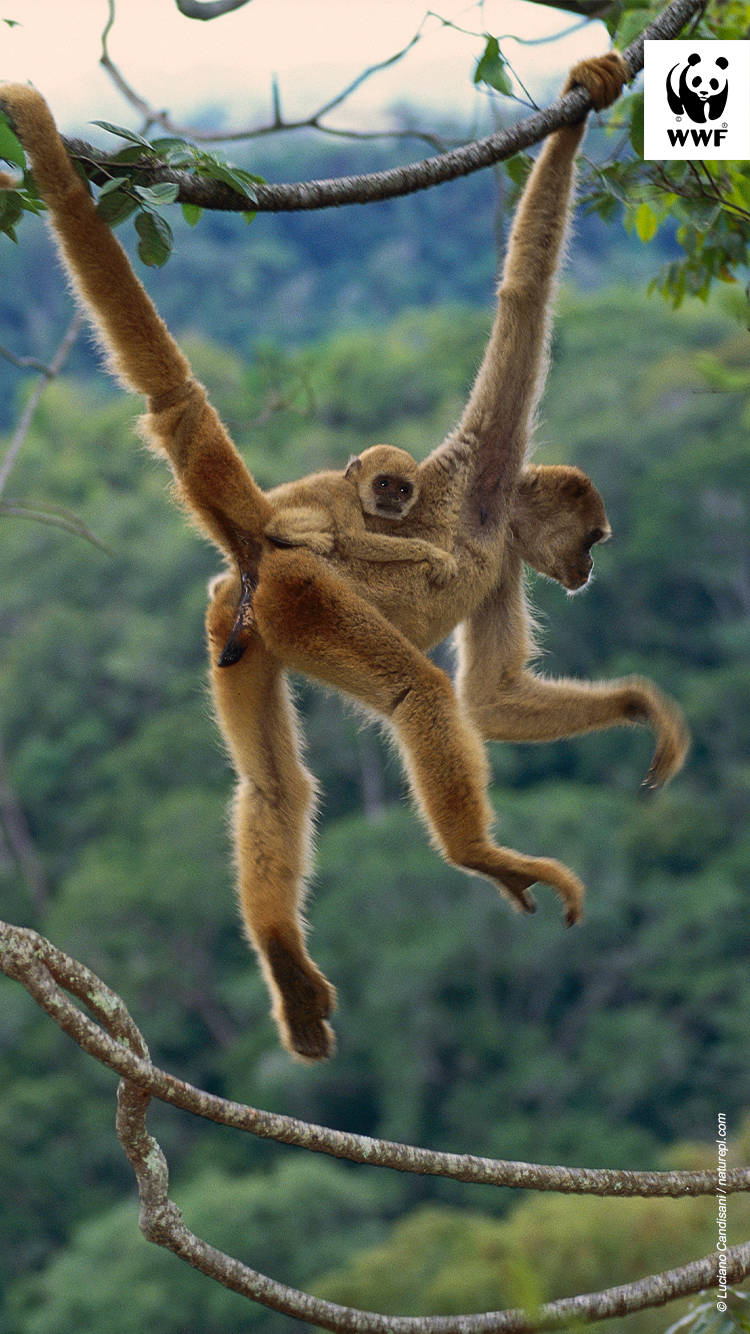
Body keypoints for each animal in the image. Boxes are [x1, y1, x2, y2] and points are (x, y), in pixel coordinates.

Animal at [0, 52, 689, 1062]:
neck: (494, 522)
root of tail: (261, 542)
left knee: (274, 786)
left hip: (241, 624)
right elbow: (524, 296)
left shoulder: (503, 565)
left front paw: (642, 707)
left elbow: (495, 698)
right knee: (417, 695)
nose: (592, 572)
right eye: (594, 538)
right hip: (308, 600)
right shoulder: (488, 463)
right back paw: (479, 855)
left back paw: (285, 957)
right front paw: (587, 95)